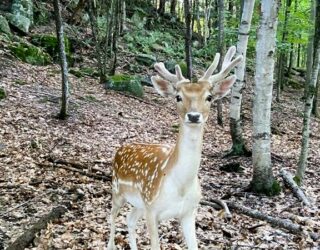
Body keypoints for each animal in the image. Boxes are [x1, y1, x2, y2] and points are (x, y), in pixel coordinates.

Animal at [106, 46, 241, 249]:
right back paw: (110, 244)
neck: (181, 187)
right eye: (178, 97)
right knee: (112, 216)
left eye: (209, 97)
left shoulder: (189, 212)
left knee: (129, 219)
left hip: (138, 204)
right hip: (117, 190)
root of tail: (120, 149)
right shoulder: (152, 209)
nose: (193, 116)